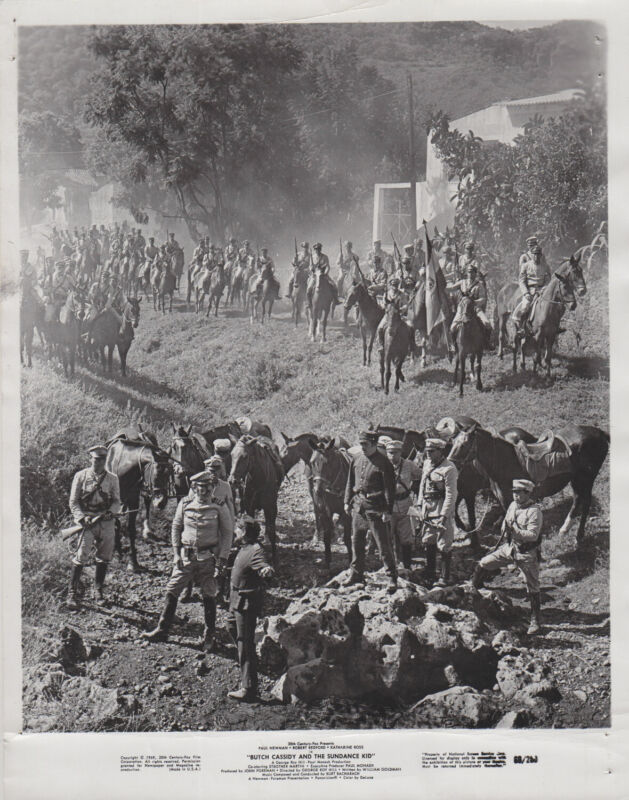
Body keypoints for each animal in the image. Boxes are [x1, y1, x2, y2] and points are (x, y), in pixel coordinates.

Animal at [105, 434, 173, 572]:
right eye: (156, 472)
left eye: (169, 472)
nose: (161, 502)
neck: (123, 464)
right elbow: (116, 524)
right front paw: (118, 553)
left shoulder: (133, 501)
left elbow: (131, 529)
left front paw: (133, 562)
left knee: (146, 503)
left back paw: (147, 530)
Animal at [310, 438, 354, 568]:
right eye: (312, 462)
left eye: (328, 463)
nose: (318, 490)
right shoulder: (324, 512)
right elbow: (326, 537)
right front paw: (328, 562)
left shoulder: (346, 513)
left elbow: (347, 539)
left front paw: (351, 561)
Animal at [448, 424, 612, 544]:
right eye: (452, 442)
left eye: (464, 444)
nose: (451, 464)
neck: (505, 462)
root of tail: (600, 433)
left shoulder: (509, 501)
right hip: (576, 479)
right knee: (578, 499)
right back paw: (564, 529)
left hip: (587, 478)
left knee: (586, 501)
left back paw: (579, 535)